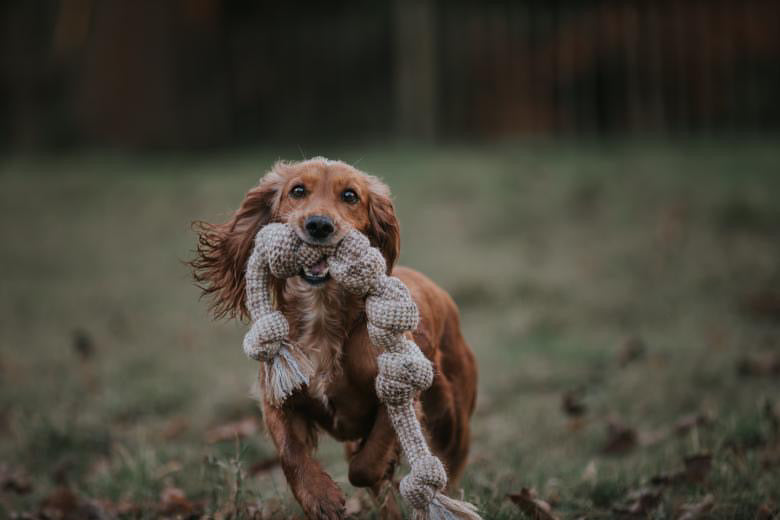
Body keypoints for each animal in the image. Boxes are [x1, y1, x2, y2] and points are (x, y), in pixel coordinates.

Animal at [192, 159, 478, 520]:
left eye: (350, 196)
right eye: (298, 190)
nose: (318, 225)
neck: (321, 315)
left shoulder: (397, 392)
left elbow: (365, 466)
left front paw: (375, 472)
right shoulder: (277, 396)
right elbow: (290, 453)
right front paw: (320, 497)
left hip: (452, 418)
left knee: (451, 467)